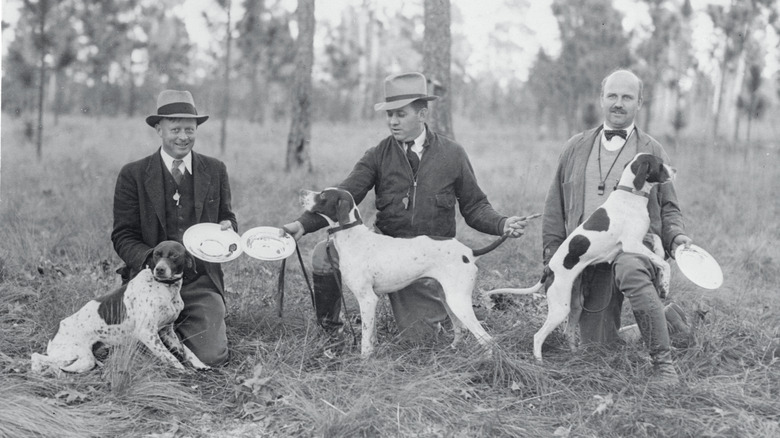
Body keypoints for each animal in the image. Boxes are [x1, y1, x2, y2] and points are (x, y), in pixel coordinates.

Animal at [31, 240, 210, 372]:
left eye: (174, 256)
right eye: (156, 255)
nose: (160, 269)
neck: (165, 288)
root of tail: (55, 333)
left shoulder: (167, 329)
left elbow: (184, 348)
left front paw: (198, 363)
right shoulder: (147, 333)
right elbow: (170, 357)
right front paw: (183, 370)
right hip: (78, 357)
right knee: (38, 357)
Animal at [302, 187, 516, 356]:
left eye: (323, 195)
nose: (302, 193)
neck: (352, 237)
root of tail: (469, 252)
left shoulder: (367, 299)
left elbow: (365, 340)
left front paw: (364, 362)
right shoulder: (371, 302)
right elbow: (371, 336)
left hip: (458, 301)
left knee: (486, 339)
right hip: (448, 299)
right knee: (459, 328)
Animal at [488, 154, 676, 362]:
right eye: (660, 164)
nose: (675, 170)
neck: (631, 194)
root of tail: (549, 269)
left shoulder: (638, 239)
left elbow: (657, 239)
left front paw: (661, 253)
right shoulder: (630, 244)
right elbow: (663, 264)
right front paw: (664, 286)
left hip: (576, 304)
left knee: (568, 332)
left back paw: (576, 355)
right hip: (560, 308)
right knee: (538, 336)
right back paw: (539, 361)